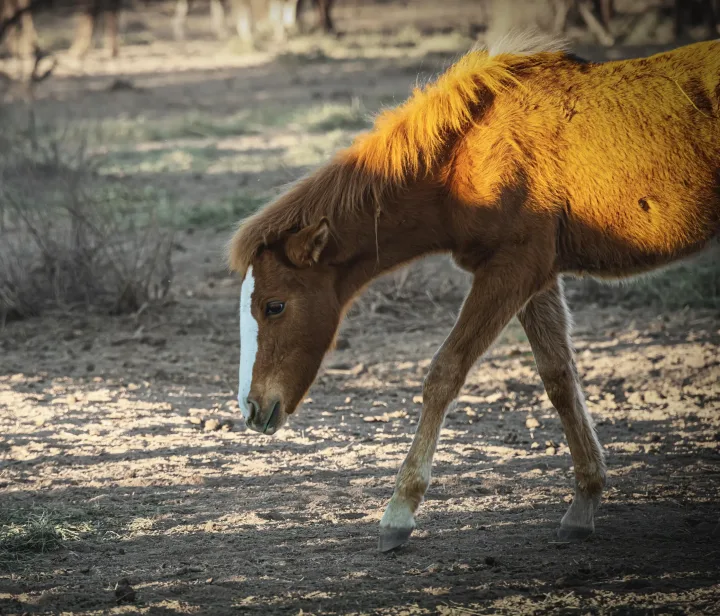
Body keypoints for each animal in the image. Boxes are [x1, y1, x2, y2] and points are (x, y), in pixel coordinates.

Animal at [227, 32, 720, 552]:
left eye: (273, 306)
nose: (251, 408)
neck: (463, 153)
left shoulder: (511, 268)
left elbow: (445, 373)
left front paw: (399, 511)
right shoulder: (538, 276)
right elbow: (559, 377)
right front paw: (584, 503)